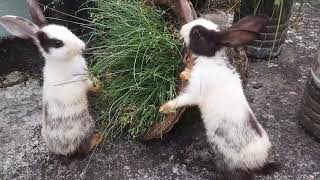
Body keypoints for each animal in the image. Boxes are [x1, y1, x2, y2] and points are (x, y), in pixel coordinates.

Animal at [0, 0, 101, 155]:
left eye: (67, 29)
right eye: (58, 43)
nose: (82, 46)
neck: (63, 61)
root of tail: (61, 149)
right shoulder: (83, 79)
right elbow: (93, 85)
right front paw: (101, 86)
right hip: (86, 124)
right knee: (84, 148)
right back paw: (99, 137)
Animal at [160, 16, 280, 179]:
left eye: (197, 33)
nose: (182, 28)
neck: (209, 60)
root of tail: (259, 165)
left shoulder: (195, 92)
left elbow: (181, 100)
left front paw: (163, 108)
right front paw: (184, 74)